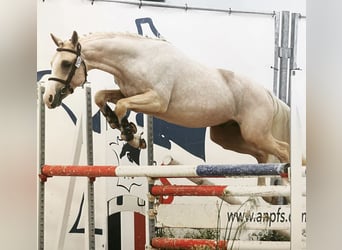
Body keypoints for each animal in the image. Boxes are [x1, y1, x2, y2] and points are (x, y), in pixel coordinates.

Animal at [42, 30, 288, 165]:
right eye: (52, 62)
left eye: (66, 64)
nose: (49, 98)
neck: (135, 59)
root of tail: (268, 94)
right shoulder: (130, 93)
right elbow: (102, 97)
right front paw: (117, 123)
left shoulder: (157, 102)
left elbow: (121, 106)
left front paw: (130, 135)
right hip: (229, 137)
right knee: (263, 155)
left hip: (255, 133)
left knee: (283, 149)